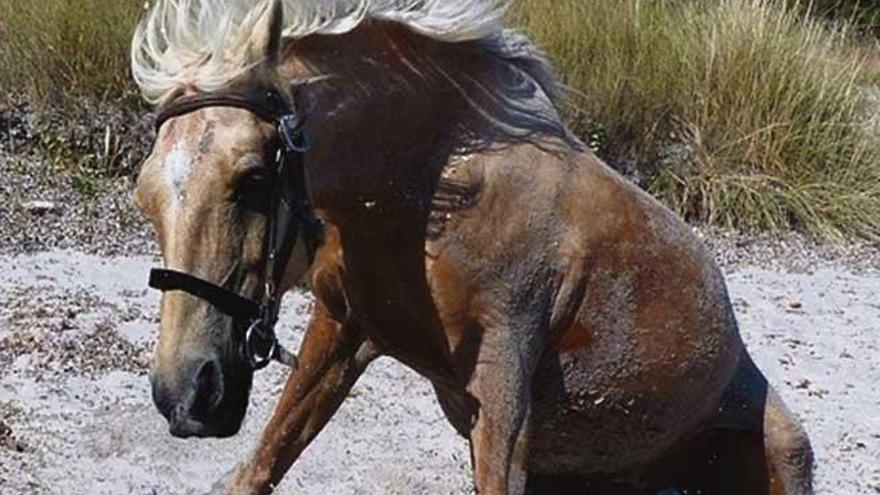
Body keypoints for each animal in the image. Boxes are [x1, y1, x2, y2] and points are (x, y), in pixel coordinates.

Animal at [131, 0, 812, 494]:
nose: (186, 395)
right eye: (145, 196)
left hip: (789, 450)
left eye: (252, 181)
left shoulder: (504, 380)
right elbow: (265, 462)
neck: (429, 190)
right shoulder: (344, 329)